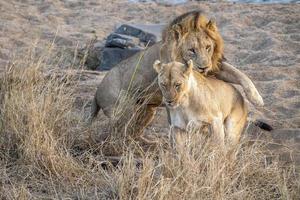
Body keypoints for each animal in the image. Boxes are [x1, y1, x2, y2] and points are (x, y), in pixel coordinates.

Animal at [91, 10, 262, 137]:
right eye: (192, 50)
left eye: (208, 47)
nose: (203, 68)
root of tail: (97, 92)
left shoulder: (214, 67)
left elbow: (239, 74)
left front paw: (257, 99)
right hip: (123, 109)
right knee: (120, 133)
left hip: (146, 111)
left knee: (134, 132)